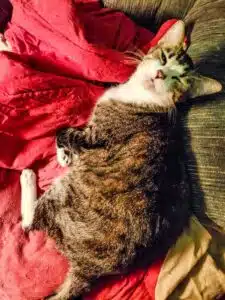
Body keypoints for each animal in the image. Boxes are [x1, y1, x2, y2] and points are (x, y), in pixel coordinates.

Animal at [19, 21, 221, 300]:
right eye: (163, 57)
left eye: (179, 79)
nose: (160, 74)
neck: (139, 94)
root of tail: (89, 270)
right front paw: (65, 155)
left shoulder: (95, 137)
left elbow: (64, 131)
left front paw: (62, 153)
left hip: (66, 193)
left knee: (30, 221)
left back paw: (28, 178)